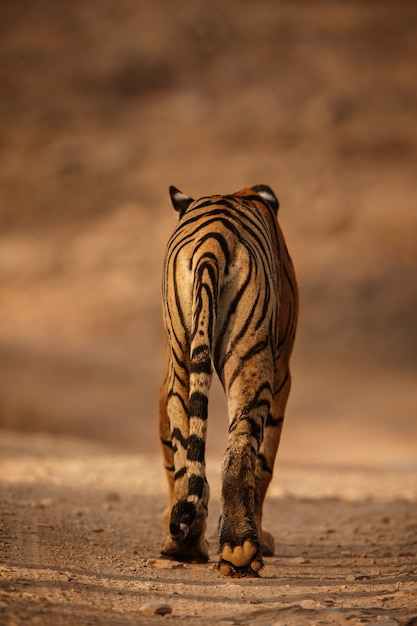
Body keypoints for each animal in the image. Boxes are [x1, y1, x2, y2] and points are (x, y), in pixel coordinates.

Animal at [158, 184, 298, 576]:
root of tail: (213, 236)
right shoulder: (282, 375)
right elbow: (265, 463)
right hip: (251, 361)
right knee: (240, 449)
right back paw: (241, 548)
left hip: (182, 364)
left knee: (188, 456)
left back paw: (187, 545)